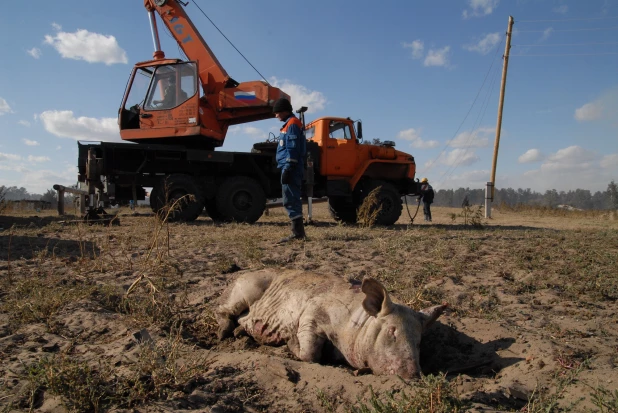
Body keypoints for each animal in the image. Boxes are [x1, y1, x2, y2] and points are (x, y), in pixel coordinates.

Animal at [217, 268, 442, 378]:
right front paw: (290, 342)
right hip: (244, 290)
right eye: (391, 331)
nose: (414, 375)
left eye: (419, 341)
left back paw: (239, 332)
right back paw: (222, 334)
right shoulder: (312, 314)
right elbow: (311, 354)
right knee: (222, 310)